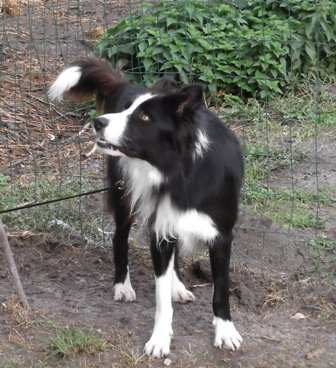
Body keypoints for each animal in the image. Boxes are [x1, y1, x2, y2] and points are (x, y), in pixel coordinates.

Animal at [48, 56, 243, 356]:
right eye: (126, 109)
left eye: (144, 117)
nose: (98, 122)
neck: (178, 173)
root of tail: (128, 84)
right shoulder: (159, 231)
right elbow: (162, 301)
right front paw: (160, 339)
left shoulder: (220, 235)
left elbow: (220, 289)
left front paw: (225, 331)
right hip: (124, 197)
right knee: (119, 238)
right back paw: (122, 286)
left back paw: (177, 286)